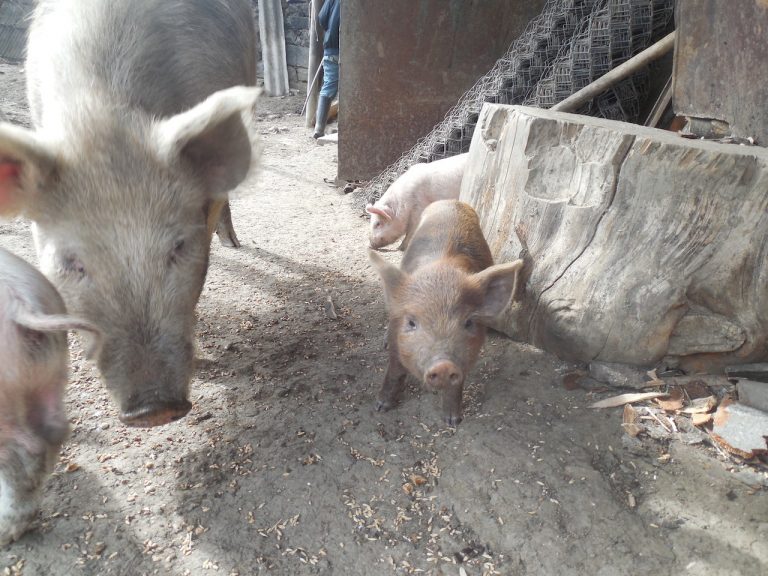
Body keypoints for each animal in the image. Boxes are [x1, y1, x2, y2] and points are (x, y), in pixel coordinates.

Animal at [368, 200, 523, 426]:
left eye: (468, 322)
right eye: (411, 322)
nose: (443, 366)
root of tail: (452, 201)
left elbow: (456, 386)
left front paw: (453, 421)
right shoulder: (398, 344)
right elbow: (394, 371)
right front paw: (381, 407)